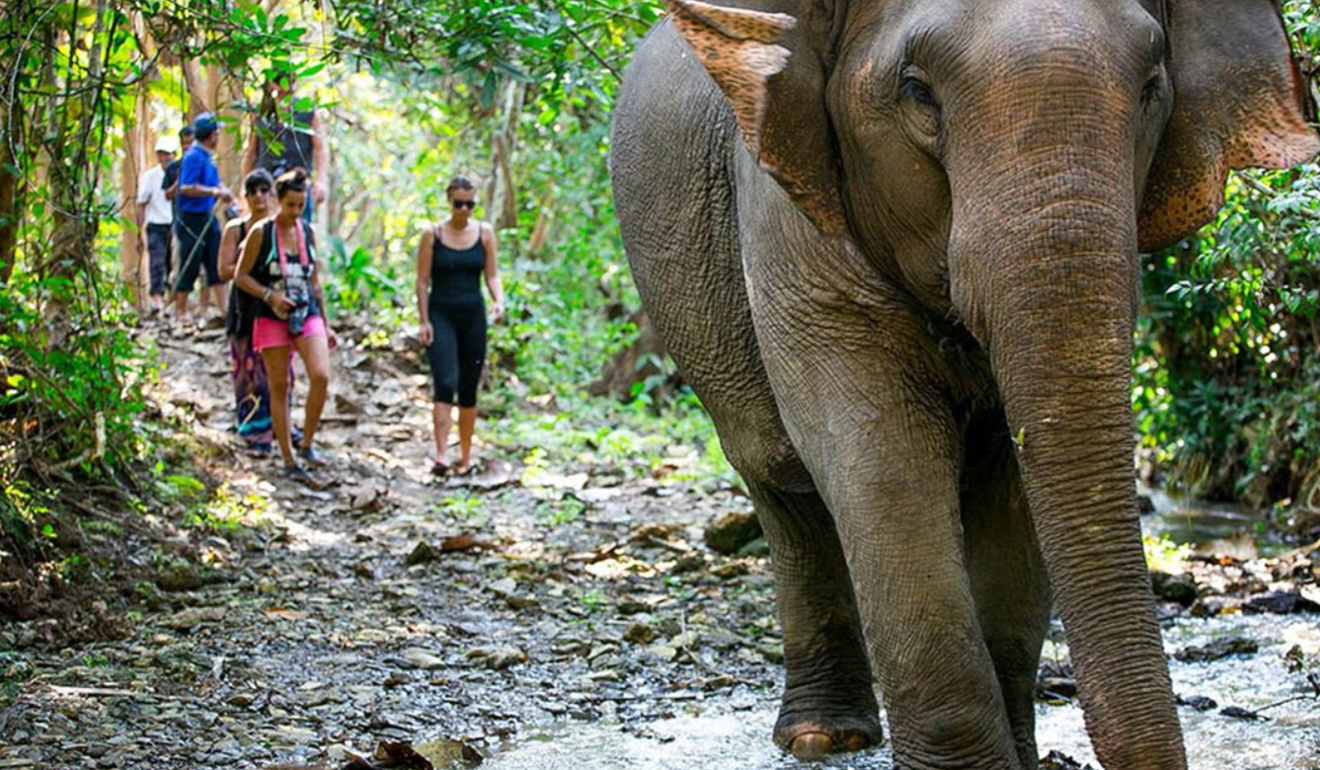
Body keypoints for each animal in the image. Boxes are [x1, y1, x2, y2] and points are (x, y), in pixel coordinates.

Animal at [612, 1, 1314, 770]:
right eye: (917, 90)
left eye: (1152, 86)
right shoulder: (787, 213)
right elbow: (881, 459)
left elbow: (1014, 485)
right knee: (780, 479)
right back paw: (823, 737)